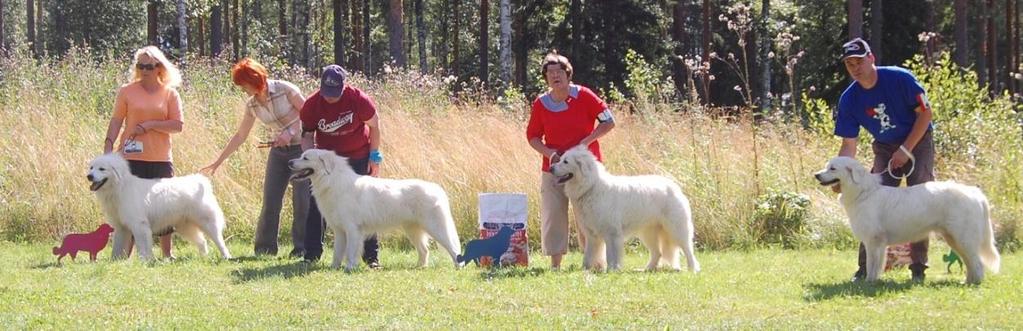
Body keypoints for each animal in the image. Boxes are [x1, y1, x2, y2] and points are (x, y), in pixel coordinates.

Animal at [87, 153, 232, 261]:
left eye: (102, 169)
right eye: (91, 168)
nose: (89, 176)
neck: (120, 187)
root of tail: (199, 180)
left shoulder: (139, 225)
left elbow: (142, 245)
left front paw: (145, 261)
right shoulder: (121, 227)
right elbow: (117, 247)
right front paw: (115, 262)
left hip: (206, 222)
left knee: (219, 241)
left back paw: (226, 257)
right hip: (185, 226)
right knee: (202, 242)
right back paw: (204, 258)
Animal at [290, 150, 462, 271]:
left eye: (305, 158)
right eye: (301, 156)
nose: (290, 161)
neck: (332, 180)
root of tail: (436, 189)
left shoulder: (352, 229)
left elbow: (351, 251)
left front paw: (349, 267)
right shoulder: (339, 230)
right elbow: (338, 252)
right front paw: (334, 268)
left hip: (436, 228)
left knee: (452, 248)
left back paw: (458, 266)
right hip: (412, 229)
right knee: (424, 250)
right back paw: (419, 267)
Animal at [548, 145, 699, 271]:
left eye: (566, 162)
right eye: (560, 159)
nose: (550, 168)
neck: (591, 186)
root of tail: (674, 185)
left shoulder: (612, 234)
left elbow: (611, 255)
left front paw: (612, 270)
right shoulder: (592, 235)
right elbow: (588, 255)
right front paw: (585, 270)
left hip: (676, 229)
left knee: (687, 249)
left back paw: (693, 269)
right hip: (648, 232)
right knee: (658, 252)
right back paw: (647, 269)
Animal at [814, 156, 998, 284]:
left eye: (832, 168)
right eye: (826, 166)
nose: (816, 175)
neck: (863, 193)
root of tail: (975, 193)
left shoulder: (874, 240)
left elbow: (872, 264)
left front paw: (869, 282)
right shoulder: (876, 242)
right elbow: (875, 264)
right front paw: (872, 281)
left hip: (964, 237)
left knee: (978, 263)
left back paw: (974, 283)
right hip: (954, 239)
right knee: (970, 262)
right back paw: (967, 281)